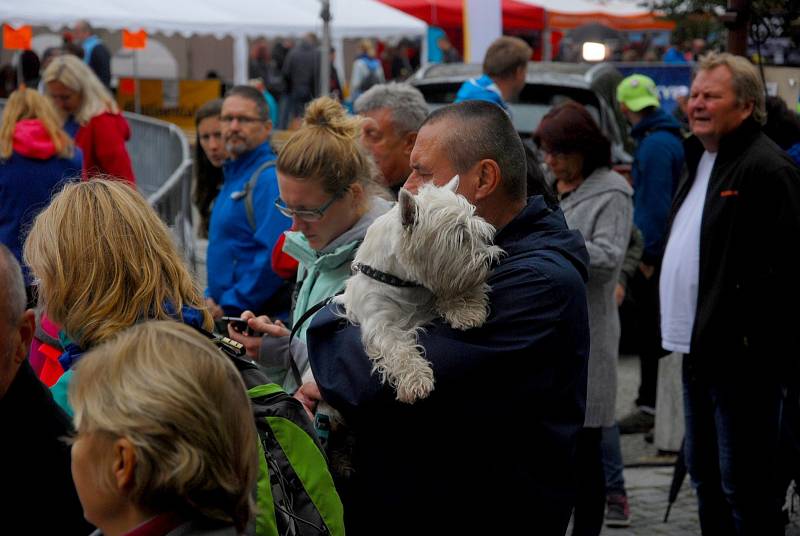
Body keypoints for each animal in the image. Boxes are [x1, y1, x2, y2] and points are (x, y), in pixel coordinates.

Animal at [336, 176, 500, 402]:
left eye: (476, 231)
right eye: (459, 237)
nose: (491, 261)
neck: (402, 282)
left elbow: (453, 290)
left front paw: (466, 311)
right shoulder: (379, 323)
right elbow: (398, 348)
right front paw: (416, 380)